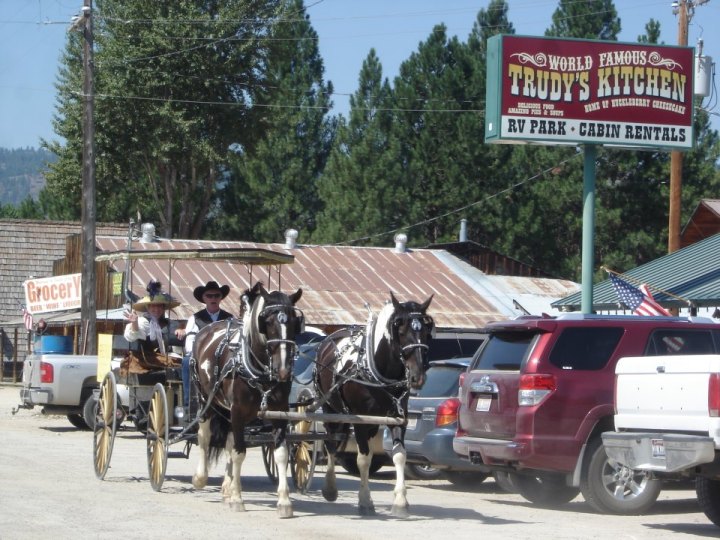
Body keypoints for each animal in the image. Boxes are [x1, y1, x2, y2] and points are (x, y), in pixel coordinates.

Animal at [190, 280, 302, 516]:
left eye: (295, 322)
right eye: (266, 321)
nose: (283, 369)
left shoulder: (278, 412)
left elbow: (280, 453)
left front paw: (284, 501)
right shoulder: (238, 411)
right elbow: (239, 452)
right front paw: (237, 498)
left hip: (228, 411)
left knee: (229, 441)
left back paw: (227, 488)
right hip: (206, 400)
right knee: (204, 435)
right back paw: (201, 478)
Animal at [314, 294, 434, 516]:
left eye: (426, 331)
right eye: (400, 331)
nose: (417, 377)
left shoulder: (397, 418)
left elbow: (399, 456)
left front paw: (401, 501)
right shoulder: (359, 420)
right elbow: (363, 459)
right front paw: (364, 500)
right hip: (330, 409)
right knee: (331, 445)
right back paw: (330, 488)